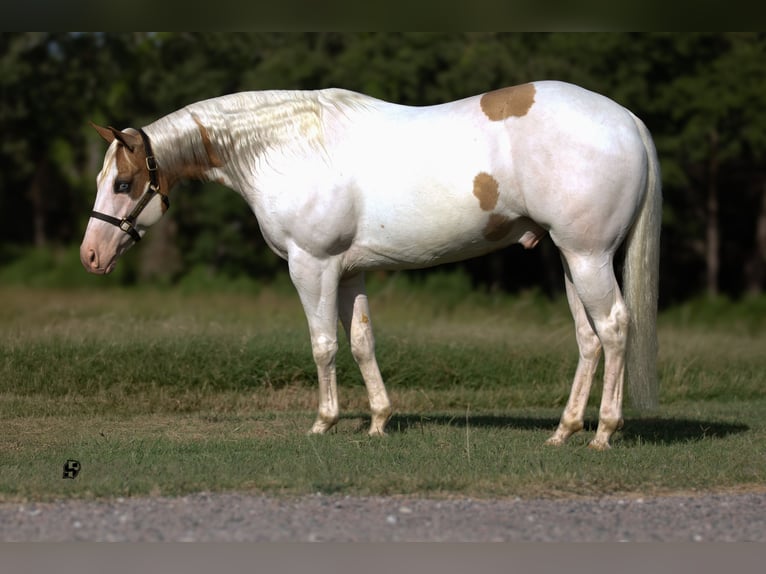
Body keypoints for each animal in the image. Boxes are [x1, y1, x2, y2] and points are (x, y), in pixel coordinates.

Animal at [82, 81, 660, 450]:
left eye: (123, 183)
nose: (91, 256)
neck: (291, 147)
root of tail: (628, 120)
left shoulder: (311, 265)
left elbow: (323, 345)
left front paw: (324, 422)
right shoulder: (348, 271)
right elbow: (361, 341)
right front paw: (380, 421)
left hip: (587, 256)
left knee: (613, 328)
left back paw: (604, 432)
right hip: (570, 258)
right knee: (588, 339)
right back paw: (564, 431)